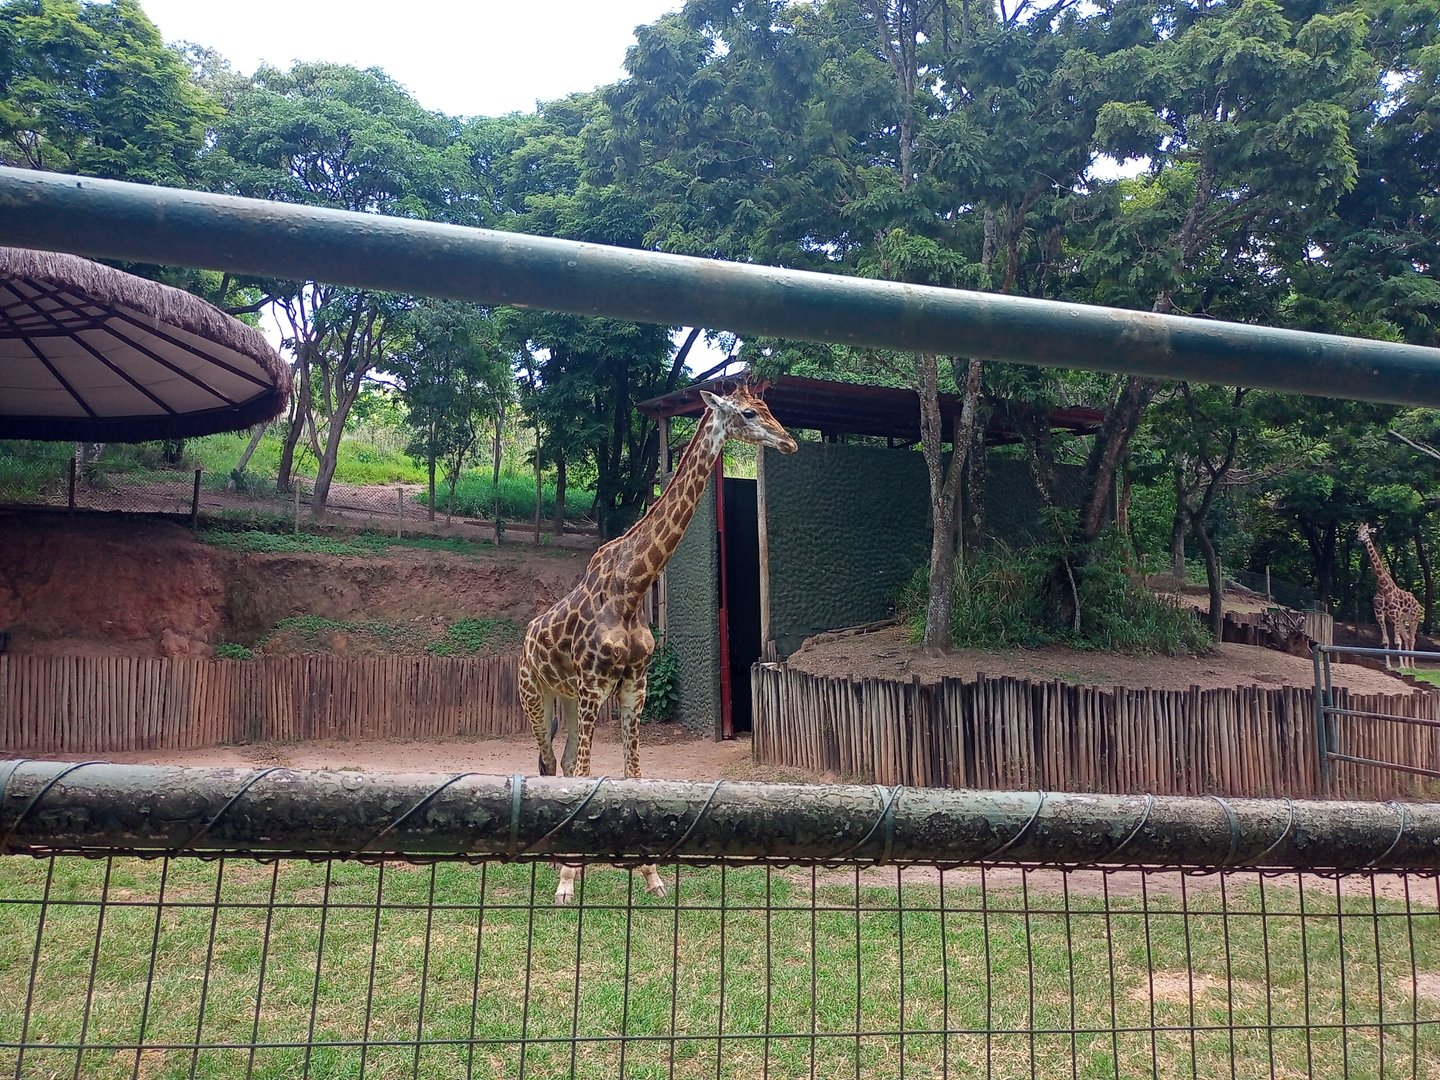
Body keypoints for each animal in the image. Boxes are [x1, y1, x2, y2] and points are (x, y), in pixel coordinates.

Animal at [520, 385, 798, 903]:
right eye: (748, 413)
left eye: (769, 408)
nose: (789, 442)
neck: (633, 586)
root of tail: (525, 639)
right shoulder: (594, 685)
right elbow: (588, 774)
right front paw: (567, 882)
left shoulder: (634, 686)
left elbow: (633, 776)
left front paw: (650, 876)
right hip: (537, 696)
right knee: (548, 762)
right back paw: (555, 865)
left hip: (568, 700)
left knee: (560, 762)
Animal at [1357, 523, 1422, 670]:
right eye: (1358, 531)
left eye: (1367, 532)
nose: (1359, 538)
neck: (1383, 585)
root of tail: (1418, 604)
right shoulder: (1380, 613)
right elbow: (1386, 641)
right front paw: (1389, 666)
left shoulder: (1394, 612)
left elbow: (1397, 641)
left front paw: (1401, 667)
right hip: (1401, 621)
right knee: (1407, 637)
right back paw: (1408, 665)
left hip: (1414, 619)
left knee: (1412, 638)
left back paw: (1412, 666)